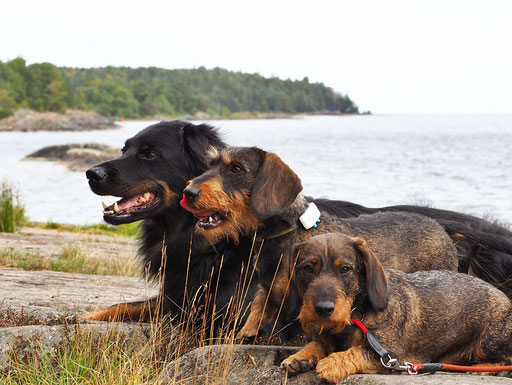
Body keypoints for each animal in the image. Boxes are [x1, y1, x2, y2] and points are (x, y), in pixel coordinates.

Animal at [181, 146, 460, 338]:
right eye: (211, 164)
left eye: (236, 168)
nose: (188, 192)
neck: (282, 235)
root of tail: (443, 232)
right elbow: (259, 305)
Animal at [280, 232, 512, 382]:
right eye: (307, 268)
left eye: (345, 269)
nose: (323, 309)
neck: (356, 314)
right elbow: (318, 344)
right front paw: (298, 358)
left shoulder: (393, 356)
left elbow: (357, 352)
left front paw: (332, 363)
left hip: (489, 341)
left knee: (507, 359)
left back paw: (483, 369)